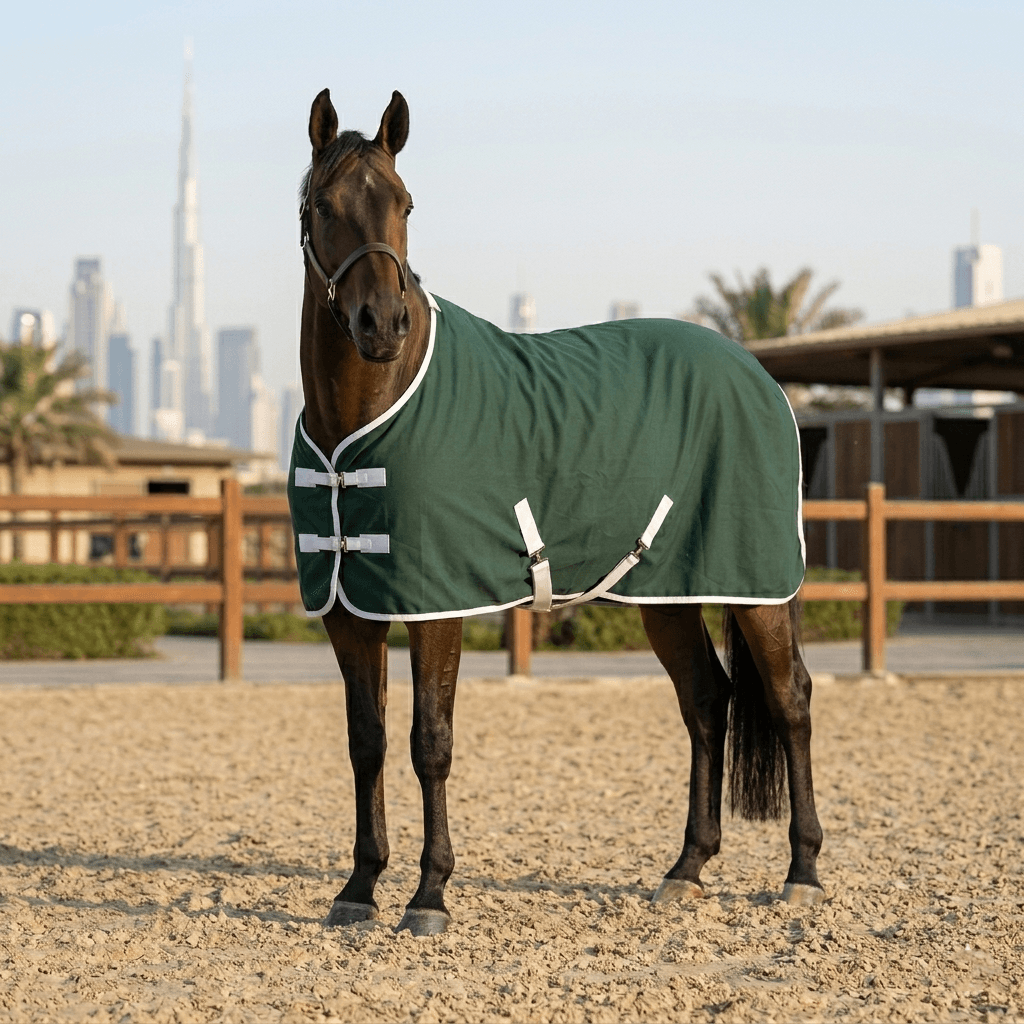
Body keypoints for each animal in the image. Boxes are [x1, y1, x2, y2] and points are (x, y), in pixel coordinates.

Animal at [291, 88, 824, 937]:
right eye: (324, 206)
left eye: (405, 204)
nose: (383, 324)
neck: (364, 418)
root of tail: (758, 373)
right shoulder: (350, 610)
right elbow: (366, 741)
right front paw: (359, 887)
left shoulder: (438, 606)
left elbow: (429, 741)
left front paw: (429, 894)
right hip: (666, 593)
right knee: (708, 701)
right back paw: (687, 868)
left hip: (754, 587)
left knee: (789, 699)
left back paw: (802, 871)